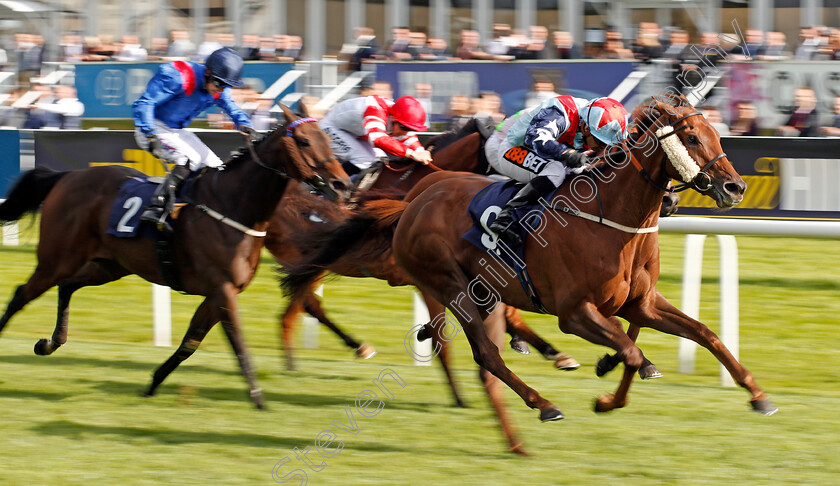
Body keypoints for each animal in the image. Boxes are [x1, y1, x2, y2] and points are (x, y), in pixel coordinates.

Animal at [0, 107, 352, 410]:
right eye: (304, 141)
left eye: (327, 139)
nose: (342, 184)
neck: (233, 207)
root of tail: (67, 176)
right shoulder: (223, 289)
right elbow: (238, 342)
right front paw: (258, 398)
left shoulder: (218, 292)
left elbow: (190, 343)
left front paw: (152, 384)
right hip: (56, 257)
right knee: (22, 294)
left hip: (110, 266)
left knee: (67, 286)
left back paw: (52, 342)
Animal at [286, 94, 776, 432]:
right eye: (692, 138)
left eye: (716, 135)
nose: (735, 188)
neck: (610, 219)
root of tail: (412, 202)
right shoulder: (574, 313)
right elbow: (631, 350)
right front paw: (605, 378)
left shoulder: (643, 304)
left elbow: (705, 335)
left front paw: (758, 395)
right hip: (450, 285)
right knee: (485, 353)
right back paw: (544, 404)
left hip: (479, 292)